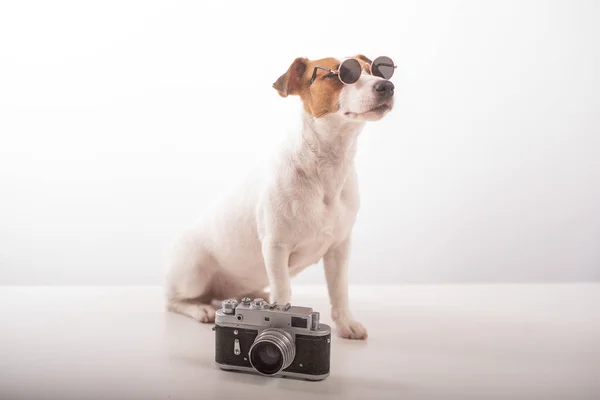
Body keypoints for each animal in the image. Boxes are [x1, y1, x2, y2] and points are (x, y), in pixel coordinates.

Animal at [166, 54, 396, 340]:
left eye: (377, 71)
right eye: (339, 74)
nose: (386, 87)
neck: (328, 166)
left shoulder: (339, 249)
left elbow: (339, 290)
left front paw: (346, 323)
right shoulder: (276, 247)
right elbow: (283, 290)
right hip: (192, 273)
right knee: (174, 301)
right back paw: (200, 309)